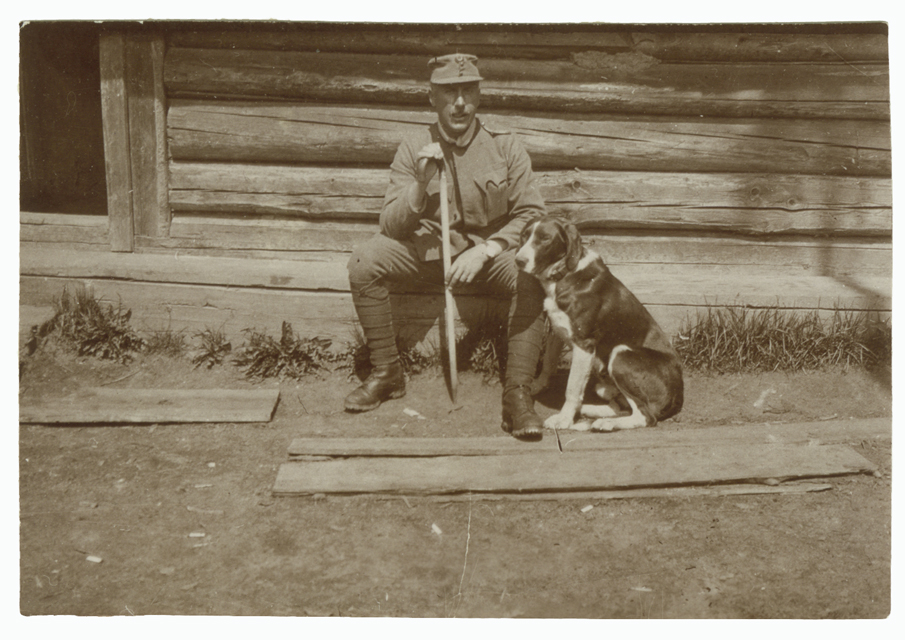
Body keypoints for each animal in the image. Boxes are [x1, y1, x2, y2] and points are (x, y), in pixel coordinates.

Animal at [515, 216, 683, 432]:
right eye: (524, 235)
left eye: (545, 238)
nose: (519, 260)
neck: (565, 273)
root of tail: (679, 394)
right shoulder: (556, 330)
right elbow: (548, 363)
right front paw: (537, 385)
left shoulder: (583, 344)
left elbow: (572, 387)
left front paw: (564, 419)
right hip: (604, 385)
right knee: (621, 406)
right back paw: (590, 411)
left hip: (620, 354)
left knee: (646, 416)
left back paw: (605, 423)